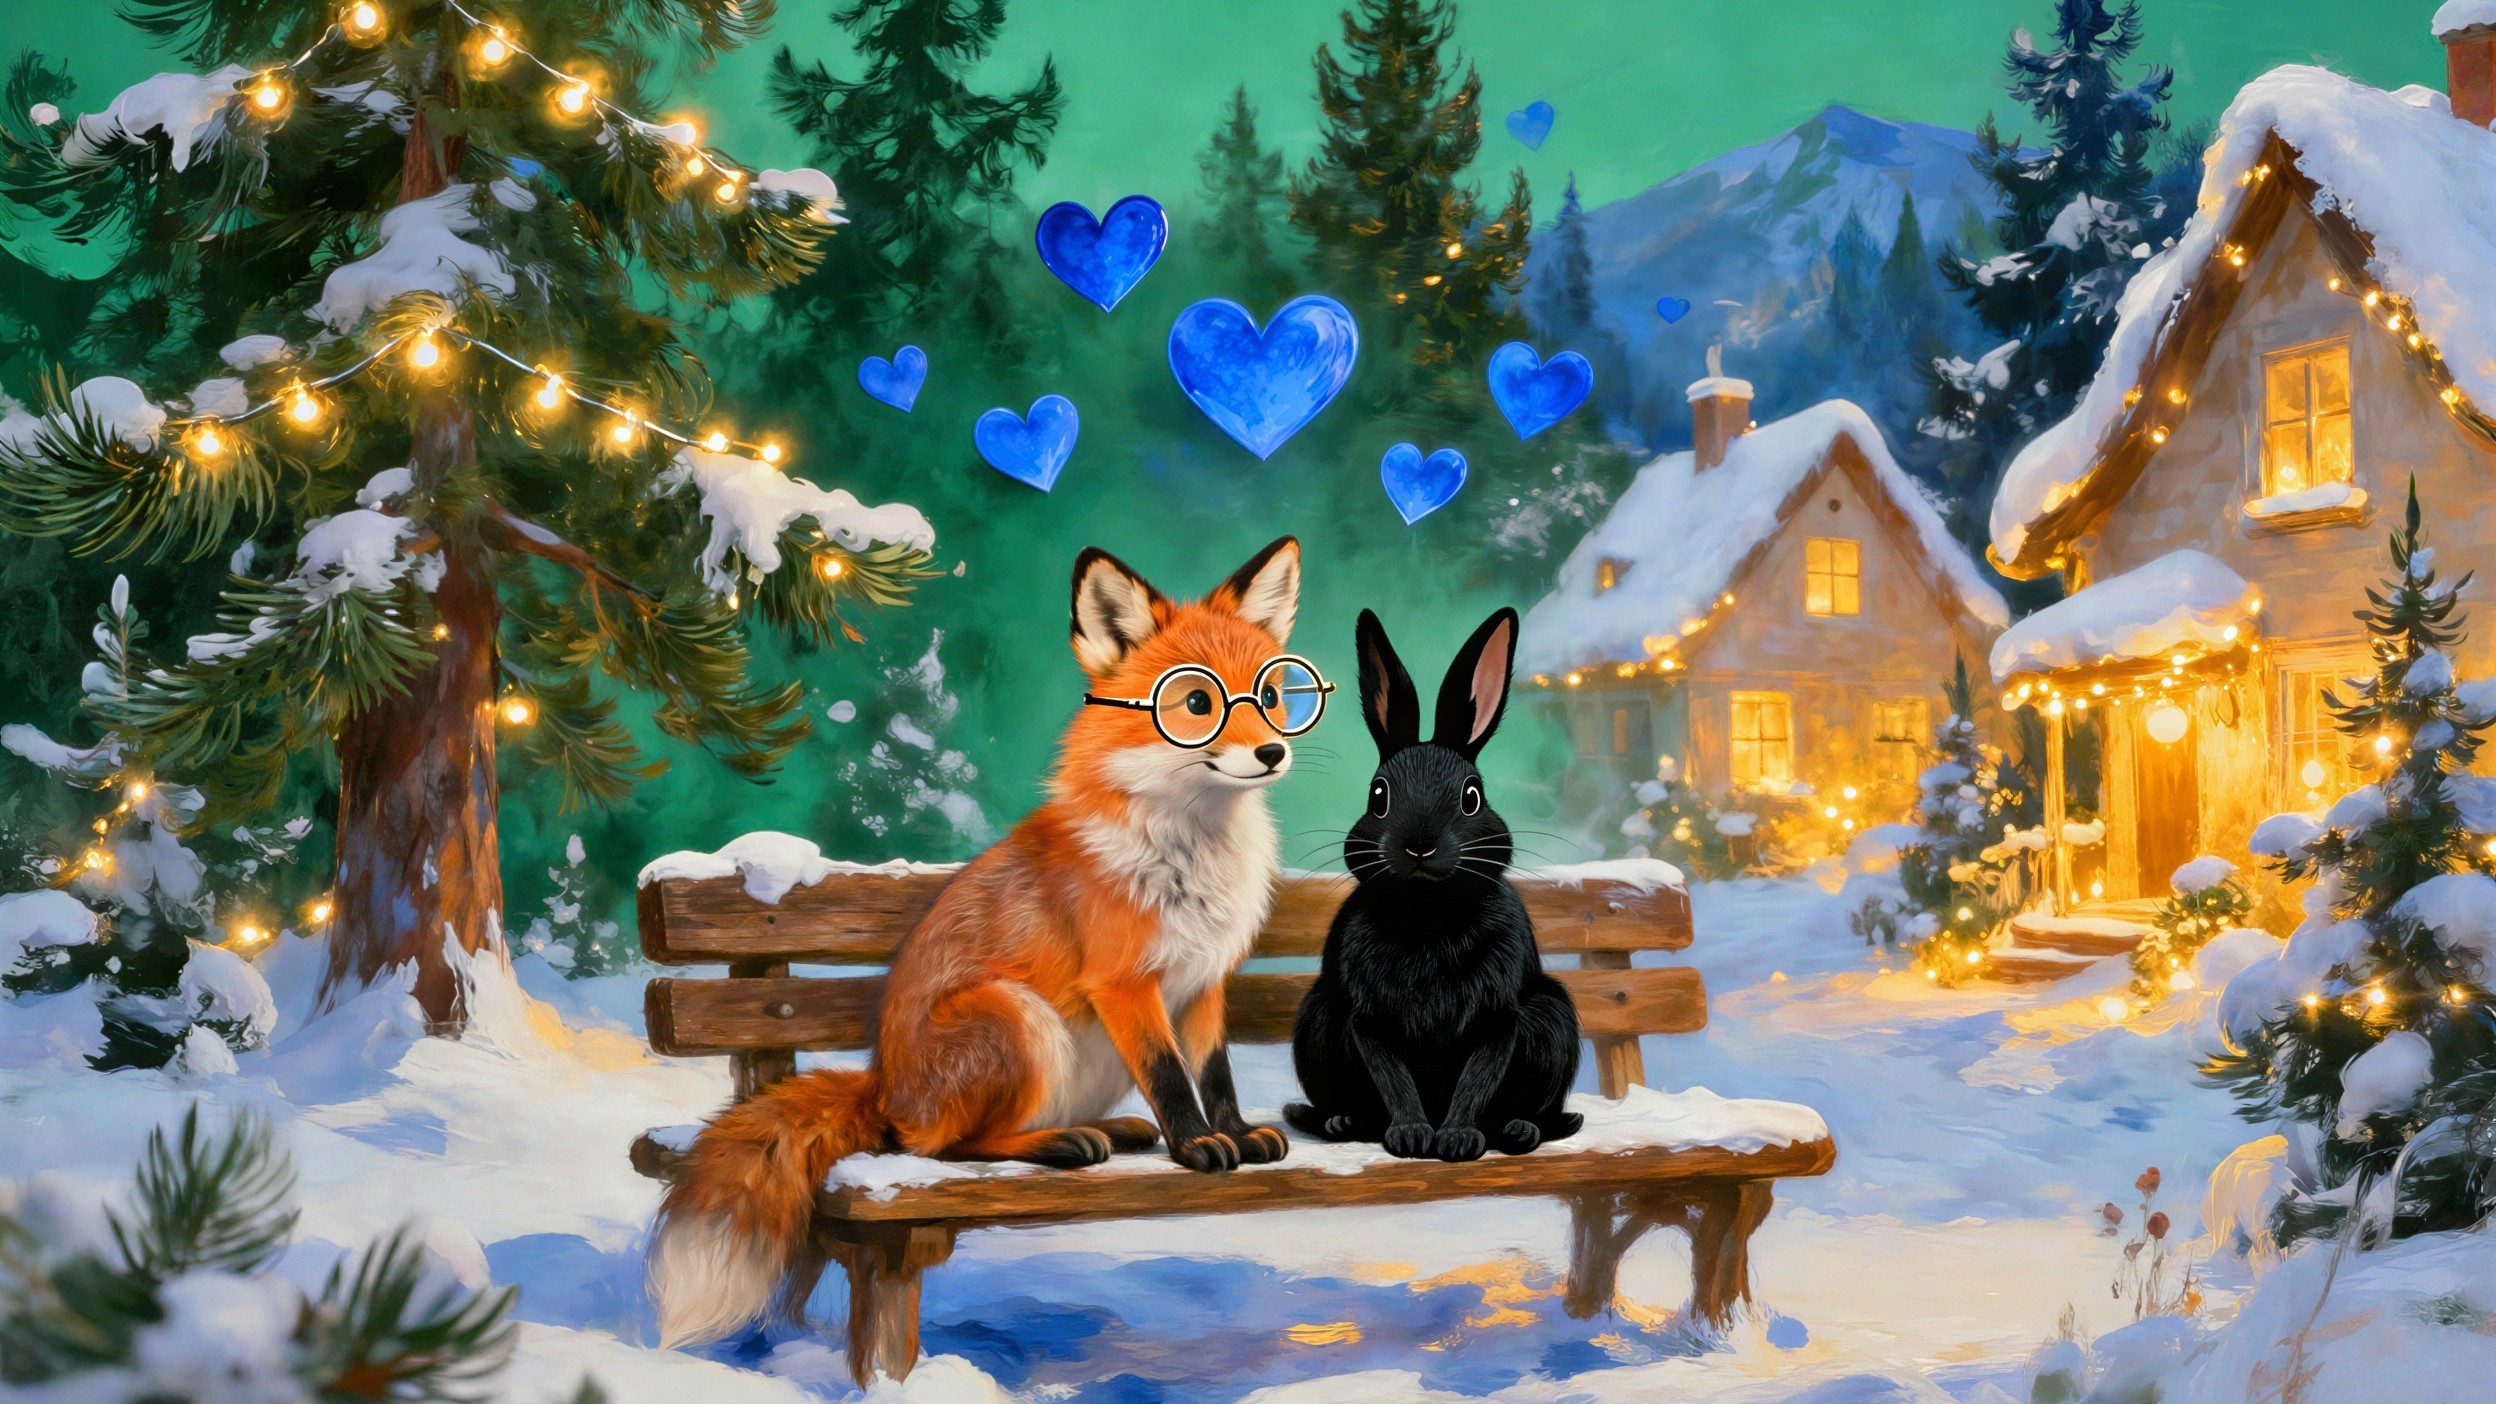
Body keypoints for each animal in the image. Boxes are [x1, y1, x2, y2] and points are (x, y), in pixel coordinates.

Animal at [648, 537, 1313, 1347]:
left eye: (1272, 696)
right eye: (1197, 704)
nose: (1274, 752)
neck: (1188, 853)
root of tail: (883, 1086)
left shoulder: (1205, 981)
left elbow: (1213, 1075)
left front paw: (1238, 1133)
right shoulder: (1124, 982)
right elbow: (1169, 1077)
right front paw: (1196, 1148)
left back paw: (1107, 1130)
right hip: (1015, 1016)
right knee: (943, 1148)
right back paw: (1058, 1145)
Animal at [1284, 607, 1583, 1163]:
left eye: (1471, 796)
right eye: (1378, 795)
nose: (1419, 845)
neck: (1427, 916)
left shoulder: (1499, 1019)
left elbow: (1476, 1078)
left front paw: (1458, 1139)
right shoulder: (1368, 1022)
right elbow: (1395, 1078)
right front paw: (1411, 1137)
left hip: (1553, 1017)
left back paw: (1519, 1131)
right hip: (1317, 1018)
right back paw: (1341, 1122)